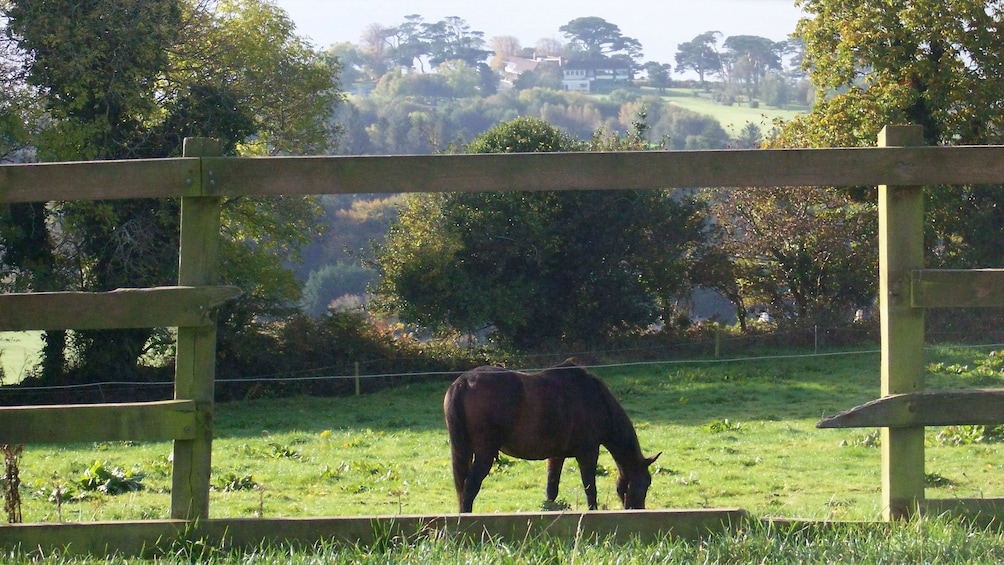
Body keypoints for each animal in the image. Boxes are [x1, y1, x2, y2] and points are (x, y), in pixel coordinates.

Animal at [445, 361, 662, 513]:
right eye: (645, 483)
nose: (638, 511)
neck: (596, 399)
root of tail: (464, 382)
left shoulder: (556, 456)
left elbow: (551, 490)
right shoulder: (588, 453)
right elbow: (590, 488)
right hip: (485, 453)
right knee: (469, 487)